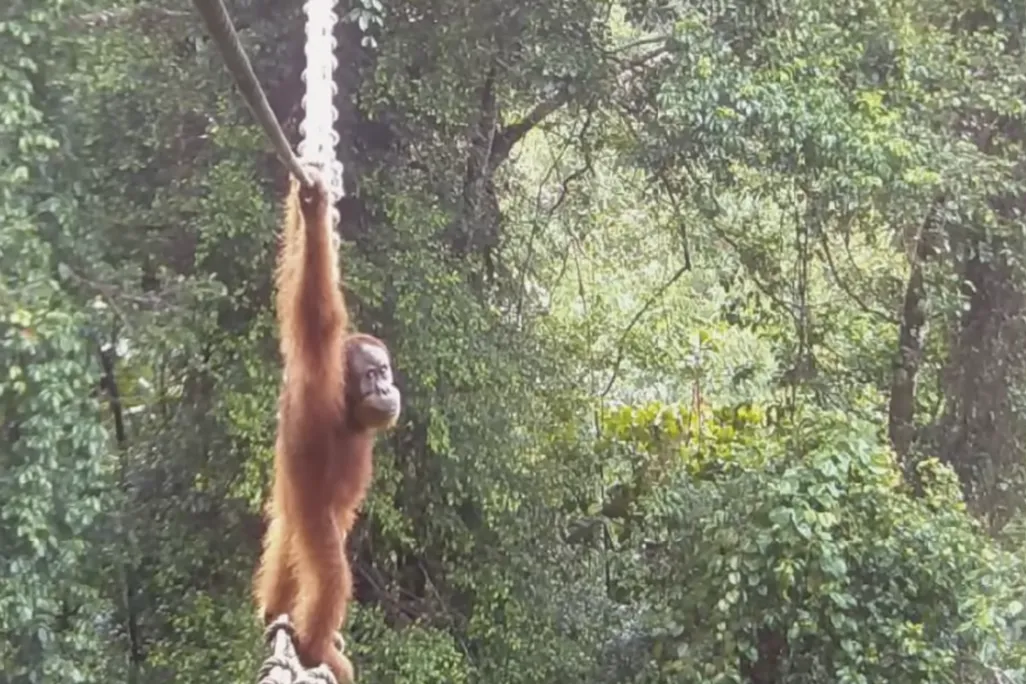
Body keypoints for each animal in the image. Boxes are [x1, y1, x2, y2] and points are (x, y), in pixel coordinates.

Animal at [253, 169, 401, 684]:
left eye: (385, 371)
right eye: (371, 375)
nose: (386, 387)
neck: (348, 409)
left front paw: (306, 208)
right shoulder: (320, 371)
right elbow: (316, 307)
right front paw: (315, 212)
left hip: (290, 515)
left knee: (285, 549)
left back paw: (276, 616)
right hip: (312, 519)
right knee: (331, 574)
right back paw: (314, 647)